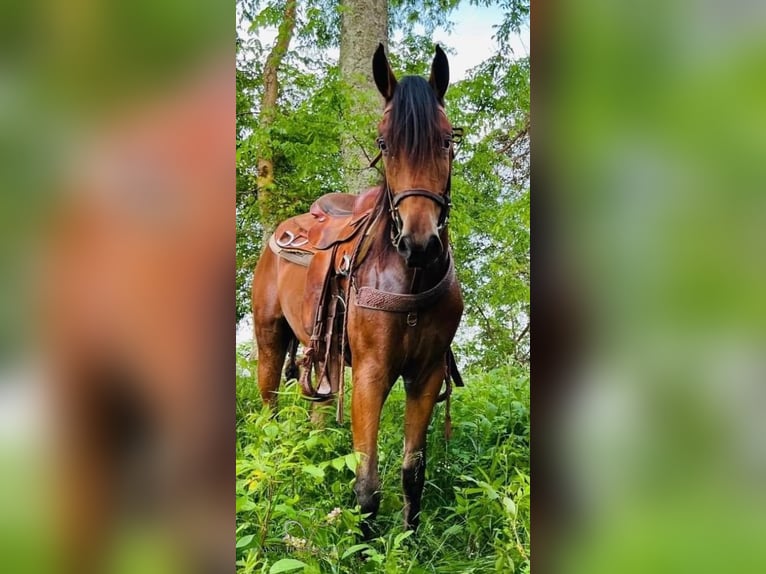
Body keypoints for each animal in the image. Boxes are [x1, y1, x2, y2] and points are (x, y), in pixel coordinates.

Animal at [255, 44, 464, 536]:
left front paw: (408, 541)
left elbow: (412, 471)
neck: (410, 277)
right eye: (385, 144)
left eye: (446, 140)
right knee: (269, 406)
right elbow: (367, 482)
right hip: (269, 338)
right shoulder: (372, 372)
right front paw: (366, 544)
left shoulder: (426, 374)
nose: (420, 243)